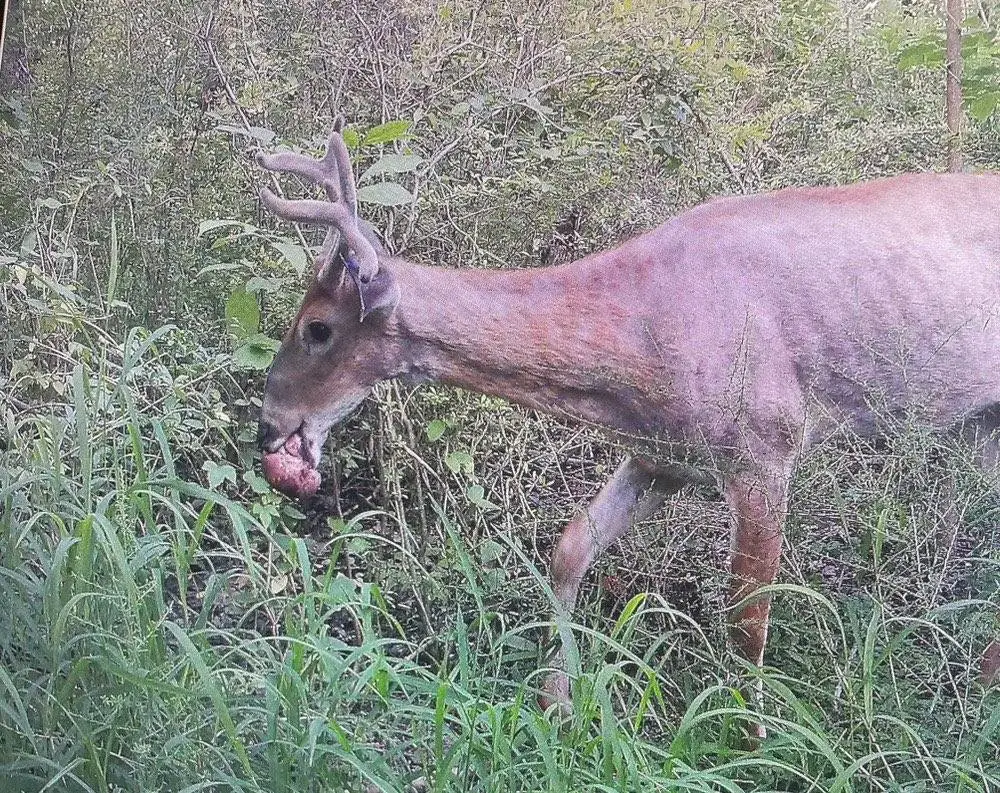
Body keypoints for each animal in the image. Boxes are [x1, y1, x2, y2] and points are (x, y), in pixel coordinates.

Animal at [254, 119, 1000, 733]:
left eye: (317, 328)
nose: (268, 425)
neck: (640, 336)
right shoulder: (661, 454)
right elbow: (570, 545)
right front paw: (556, 703)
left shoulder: (765, 443)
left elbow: (747, 614)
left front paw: (749, 743)